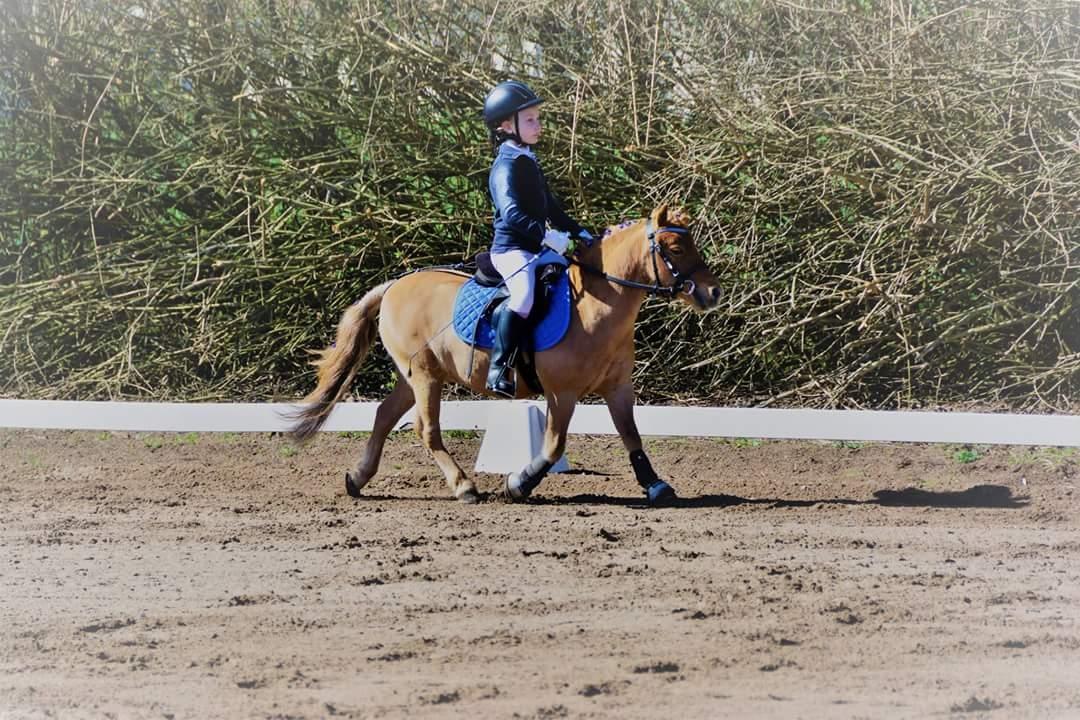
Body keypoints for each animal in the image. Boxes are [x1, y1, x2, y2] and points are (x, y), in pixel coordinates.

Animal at [288, 204, 722, 505]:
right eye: (675, 247)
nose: (713, 292)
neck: (599, 304)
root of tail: (395, 283)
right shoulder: (562, 392)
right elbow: (553, 445)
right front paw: (518, 483)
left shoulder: (618, 388)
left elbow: (631, 434)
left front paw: (656, 486)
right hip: (425, 377)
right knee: (425, 429)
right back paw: (463, 487)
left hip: (413, 377)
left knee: (383, 416)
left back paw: (357, 478)